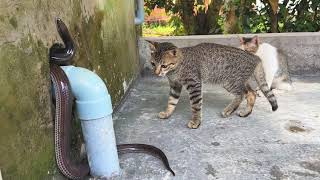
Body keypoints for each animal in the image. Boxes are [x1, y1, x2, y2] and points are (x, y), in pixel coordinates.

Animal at [148, 40, 278, 128]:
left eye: (164, 65)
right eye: (153, 63)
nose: (156, 73)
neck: (175, 70)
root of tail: (254, 56)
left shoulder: (194, 84)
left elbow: (196, 105)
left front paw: (196, 121)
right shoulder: (175, 85)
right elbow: (171, 101)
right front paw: (167, 113)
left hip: (230, 82)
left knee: (241, 94)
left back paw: (228, 110)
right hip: (239, 81)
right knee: (251, 93)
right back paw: (246, 112)